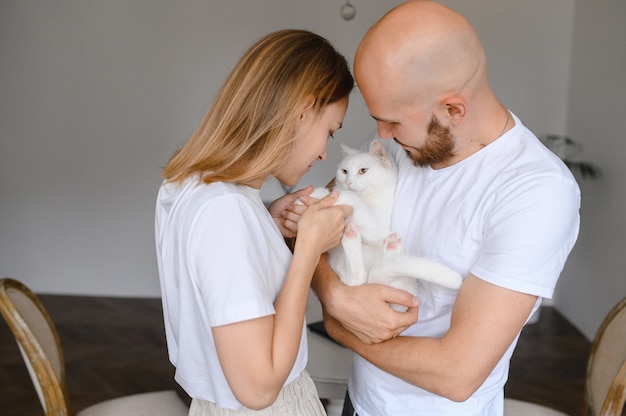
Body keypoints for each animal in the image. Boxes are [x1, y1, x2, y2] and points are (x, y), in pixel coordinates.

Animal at [304, 140, 460, 308]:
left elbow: (352, 199)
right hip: (338, 262)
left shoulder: (378, 227)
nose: (348, 182)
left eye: (363, 171)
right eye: (344, 171)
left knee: (362, 277)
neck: (366, 197)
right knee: (357, 279)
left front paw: (332, 194)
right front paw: (316, 195)